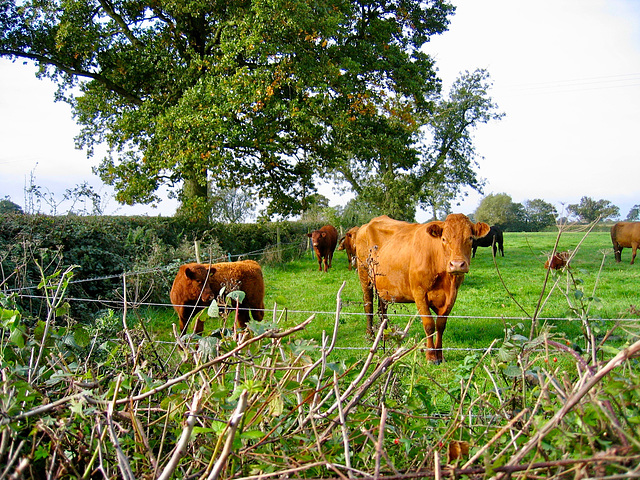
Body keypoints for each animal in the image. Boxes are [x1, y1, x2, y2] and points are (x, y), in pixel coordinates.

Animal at [356, 215, 490, 364]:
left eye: (470, 238)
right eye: (444, 239)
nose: (457, 264)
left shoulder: (452, 295)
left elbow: (440, 325)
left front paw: (440, 355)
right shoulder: (419, 293)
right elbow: (429, 324)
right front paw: (431, 356)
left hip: (383, 287)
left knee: (382, 308)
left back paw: (384, 334)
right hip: (364, 276)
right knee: (368, 306)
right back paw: (370, 336)